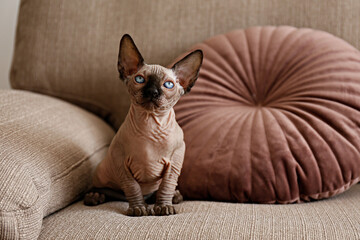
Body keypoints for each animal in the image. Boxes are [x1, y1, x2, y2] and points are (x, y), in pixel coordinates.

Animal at [83, 33, 202, 216]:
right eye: (139, 79)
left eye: (168, 84)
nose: (152, 92)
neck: (151, 126)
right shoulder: (122, 164)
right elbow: (132, 188)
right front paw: (138, 208)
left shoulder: (174, 163)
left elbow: (166, 186)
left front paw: (164, 207)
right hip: (104, 174)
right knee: (105, 189)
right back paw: (95, 196)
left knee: (159, 191)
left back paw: (174, 197)